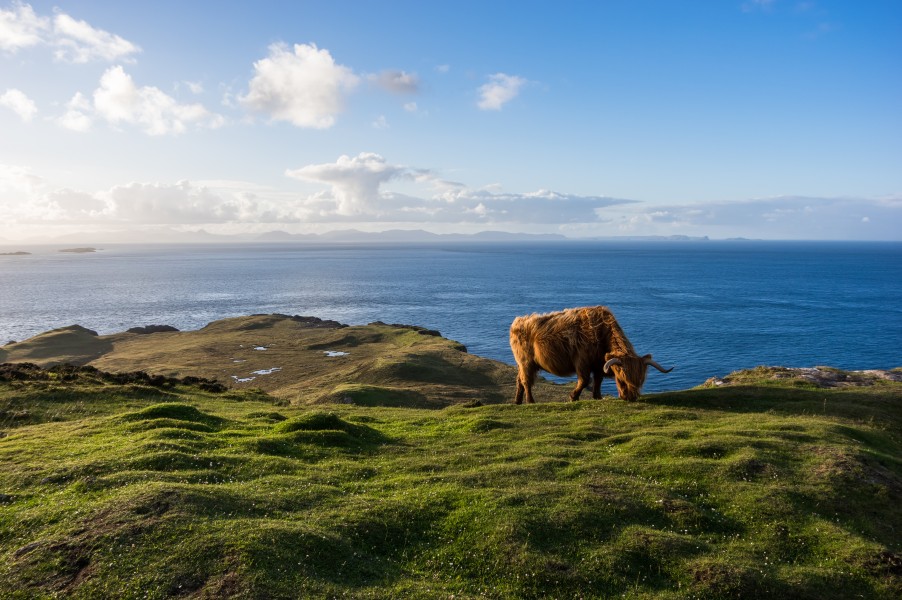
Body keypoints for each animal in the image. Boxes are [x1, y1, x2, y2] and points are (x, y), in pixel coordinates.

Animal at [509, 306, 672, 403]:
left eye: (640, 380)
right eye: (622, 379)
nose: (631, 397)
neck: (602, 333)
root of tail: (518, 321)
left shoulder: (599, 364)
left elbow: (598, 380)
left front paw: (597, 396)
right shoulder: (582, 361)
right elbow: (585, 380)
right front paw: (573, 397)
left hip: (523, 364)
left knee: (519, 379)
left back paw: (517, 402)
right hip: (526, 362)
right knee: (526, 381)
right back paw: (530, 401)